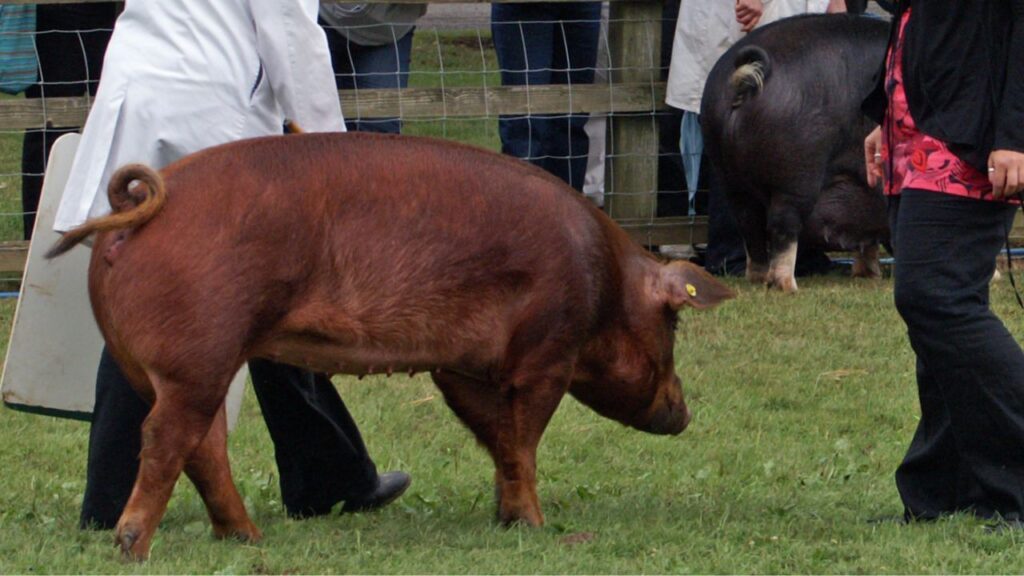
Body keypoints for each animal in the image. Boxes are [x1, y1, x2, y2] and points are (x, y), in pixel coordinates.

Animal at [47, 132, 734, 560]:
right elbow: (524, 440)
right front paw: (537, 526)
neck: (605, 283)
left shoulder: (461, 369)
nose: (685, 414)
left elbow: (500, 442)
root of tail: (138, 209)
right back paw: (134, 547)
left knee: (203, 446)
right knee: (168, 440)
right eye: (673, 325)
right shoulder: (546, 353)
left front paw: (506, 518)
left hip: (165, 363)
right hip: (198, 353)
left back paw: (246, 538)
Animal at [700, 14, 890, 292]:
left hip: (729, 176)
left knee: (749, 226)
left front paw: (869, 275)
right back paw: (788, 287)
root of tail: (750, 77)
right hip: (796, 175)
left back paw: (758, 278)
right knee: (783, 227)